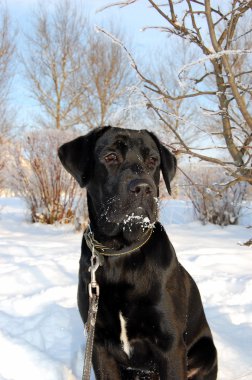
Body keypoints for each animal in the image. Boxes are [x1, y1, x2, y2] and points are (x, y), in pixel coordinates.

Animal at [58, 127, 217, 380]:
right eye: (110, 156)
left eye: (152, 160)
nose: (143, 188)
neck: (120, 251)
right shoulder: (99, 344)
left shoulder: (170, 344)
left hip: (206, 352)